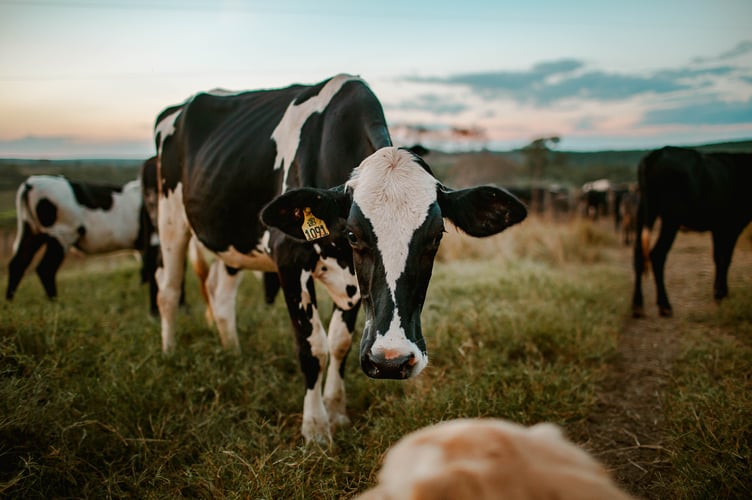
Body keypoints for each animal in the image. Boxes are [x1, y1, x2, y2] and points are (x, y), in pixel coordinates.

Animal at [5, 172, 156, 308]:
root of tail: (32, 183)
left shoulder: (142, 248)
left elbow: (145, 271)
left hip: (32, 231)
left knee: (18, 264)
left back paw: (9, 303)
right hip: (62, 233)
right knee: (45, 269)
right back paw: (56, 304)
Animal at [155, 73, 524, 442]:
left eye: (436, 237)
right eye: (353, 235)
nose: (391, 361)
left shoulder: (353, 284)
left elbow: (339, 343)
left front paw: (336, 411)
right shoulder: (289, 260)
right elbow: (312, 347)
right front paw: (315, 427)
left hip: (231, 241)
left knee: (220, 297)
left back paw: (232, 351)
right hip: (169, 218)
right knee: (169, 291)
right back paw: (169, 354)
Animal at [632, 145, 748, 316]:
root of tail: (657, 154)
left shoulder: (718, 228)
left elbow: (718, 257)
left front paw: (719, 293)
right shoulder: (731, 226)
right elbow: (725, 258)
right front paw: (721, 294)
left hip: (645, 212)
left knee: (639, 254)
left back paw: (638, 306)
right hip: (671, 218)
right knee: (657, 254)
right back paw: (665, 306)